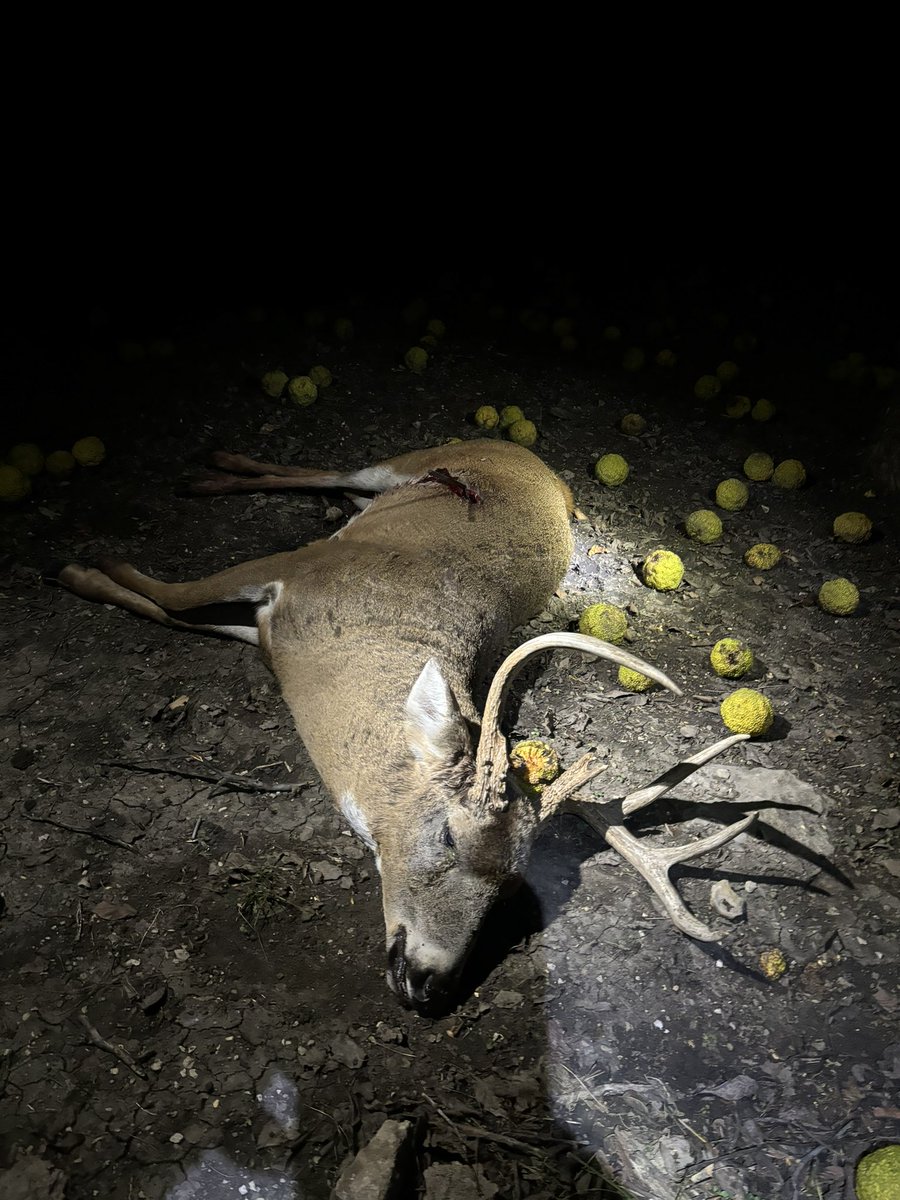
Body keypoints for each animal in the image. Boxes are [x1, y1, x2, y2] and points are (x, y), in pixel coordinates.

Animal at [49, 438, 756, 1009]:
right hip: (413, 460)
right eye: (445, 835)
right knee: (332, 471)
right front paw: (79, 568)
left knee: (334, 484)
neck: (351, 655)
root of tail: (551, 477)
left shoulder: (271, 630)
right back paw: (209, 472)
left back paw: (219, 475)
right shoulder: (295, 569)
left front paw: (86, 571)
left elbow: (168, 611)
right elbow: (166, 595)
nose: (430, 982)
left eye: (510, 888)